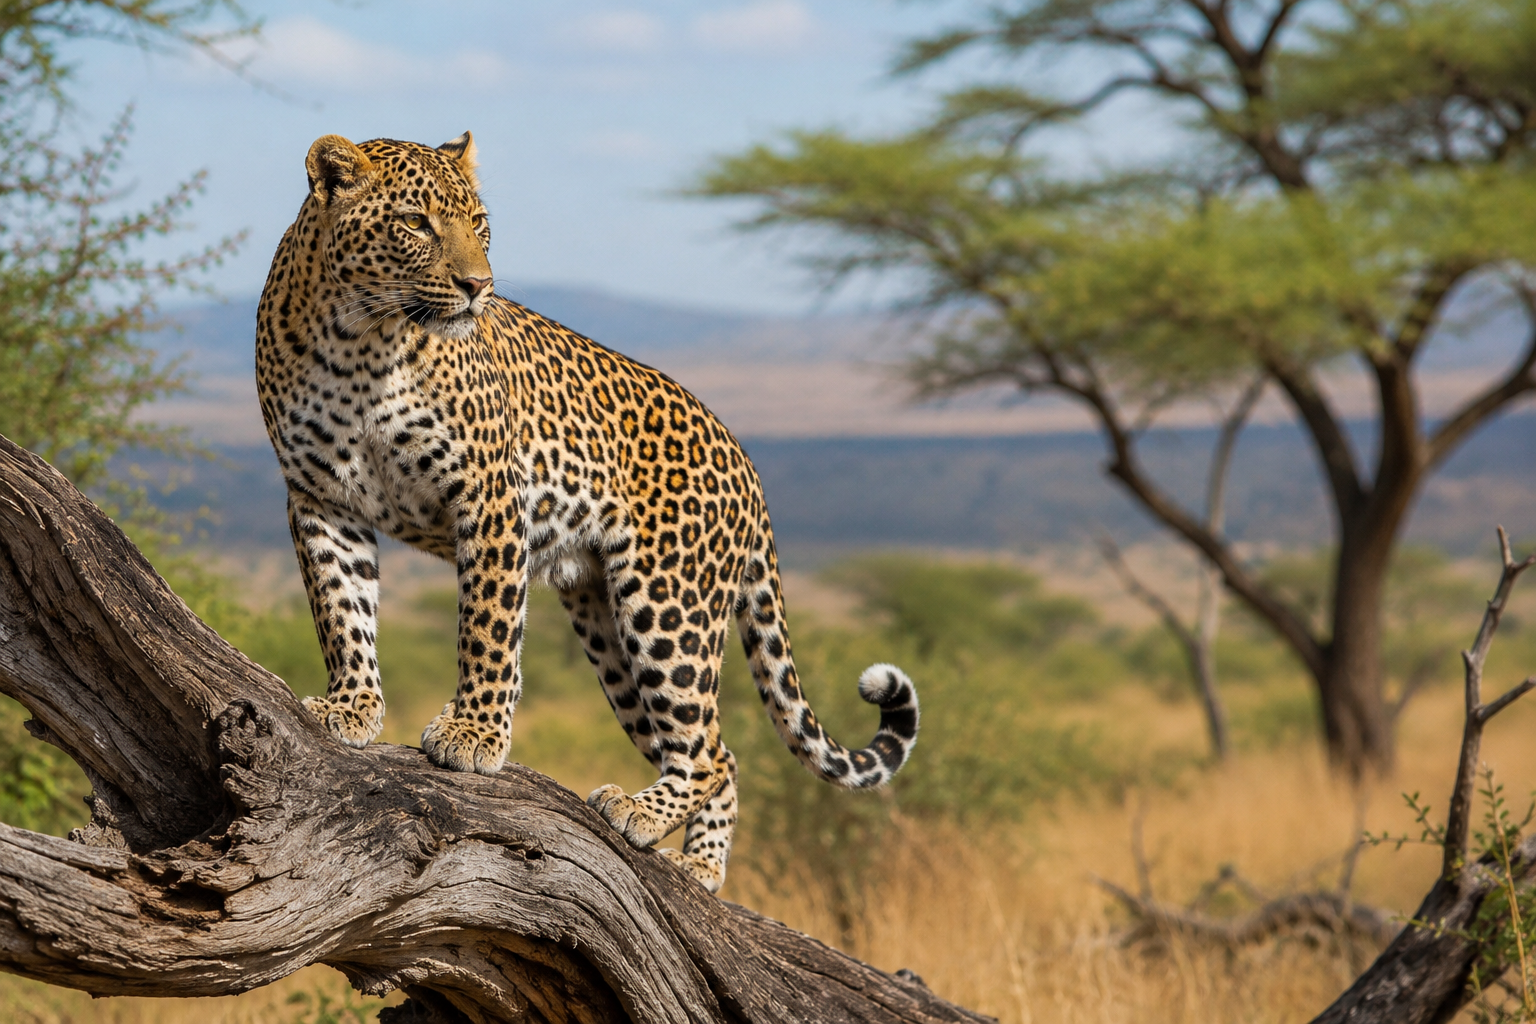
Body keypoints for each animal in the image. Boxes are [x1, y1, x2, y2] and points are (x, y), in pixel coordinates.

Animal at [253, 131, 919, 893]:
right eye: (416, 223)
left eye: (479, 223)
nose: (477, 286)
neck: (360, 342)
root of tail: (746, 464)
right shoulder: (320, 498)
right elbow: (342, 611)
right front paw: (351, 706)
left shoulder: (488, 494)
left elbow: (487, 628)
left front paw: (474, 733)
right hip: (609, 627)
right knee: (717, 750)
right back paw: (696, 863)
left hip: (668, 604)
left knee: (709, 748)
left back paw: (644, 816)